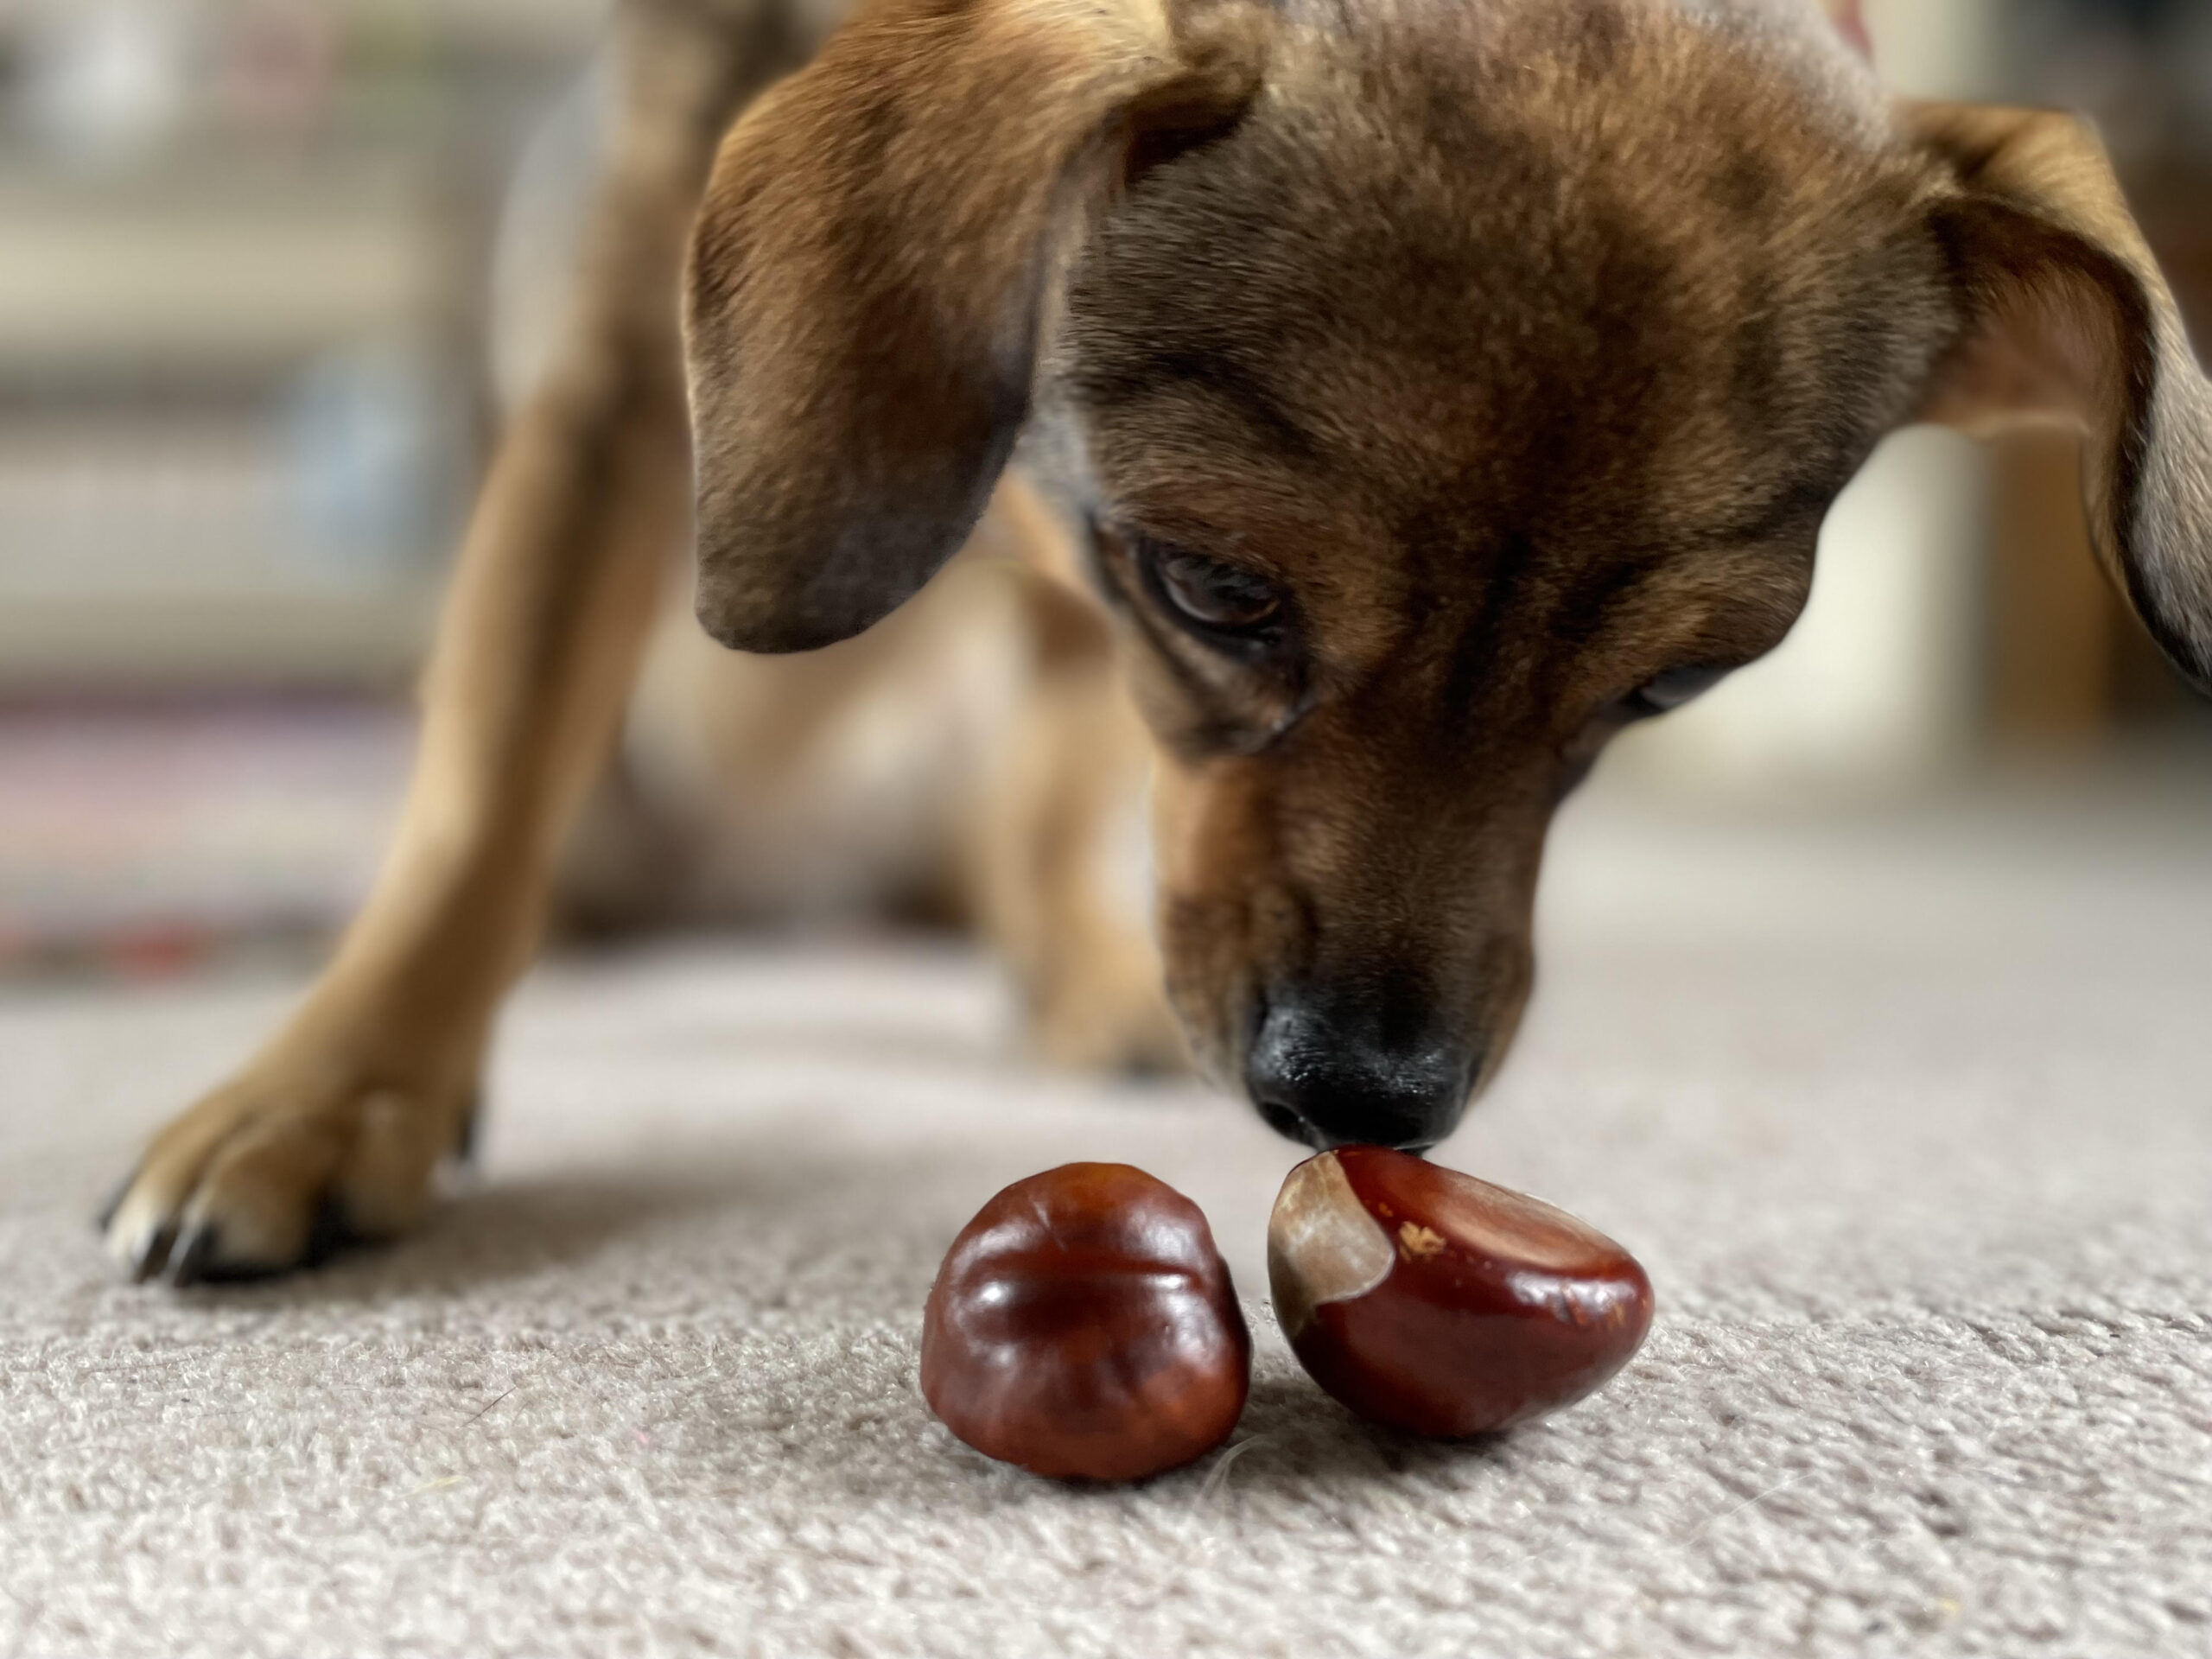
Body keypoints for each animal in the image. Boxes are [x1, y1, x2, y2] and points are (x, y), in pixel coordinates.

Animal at [104, 0, 2212, 1282]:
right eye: (1216, 590)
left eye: (1669, 686)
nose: (1369, 1101)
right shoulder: (618, 373)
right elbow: (486, 787)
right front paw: (335, 1090)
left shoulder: (1070, 609)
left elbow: (1075, 785)